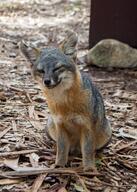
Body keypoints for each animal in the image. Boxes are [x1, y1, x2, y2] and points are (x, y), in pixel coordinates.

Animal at [20, 31, 112, 171]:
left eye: (57, 68)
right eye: (41, 71)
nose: (47, 81)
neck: (64, 104)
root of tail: (75, 148)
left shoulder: (87, 127)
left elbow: (88, 150)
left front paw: (89, 169)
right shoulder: (60, 125)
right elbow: (62, 149)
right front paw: (59, 165)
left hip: (105, 133)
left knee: (93, 149)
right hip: (51, 127)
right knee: (60, 145)